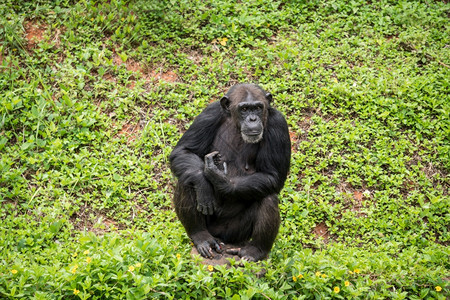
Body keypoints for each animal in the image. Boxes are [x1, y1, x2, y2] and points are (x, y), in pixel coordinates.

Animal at [170, 83, 292, 262]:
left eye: (258, 108)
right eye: (244, 109)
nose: (252, 119)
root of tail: (221, 238)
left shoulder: (279, 123)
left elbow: (273, 175)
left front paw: (220, 179)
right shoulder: (209, 113)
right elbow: (183, 151)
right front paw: (203, 184)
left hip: (234, 233)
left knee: (268, 197)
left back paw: (254, 251)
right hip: (212, 228)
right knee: (186, 180)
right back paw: (201, 237)